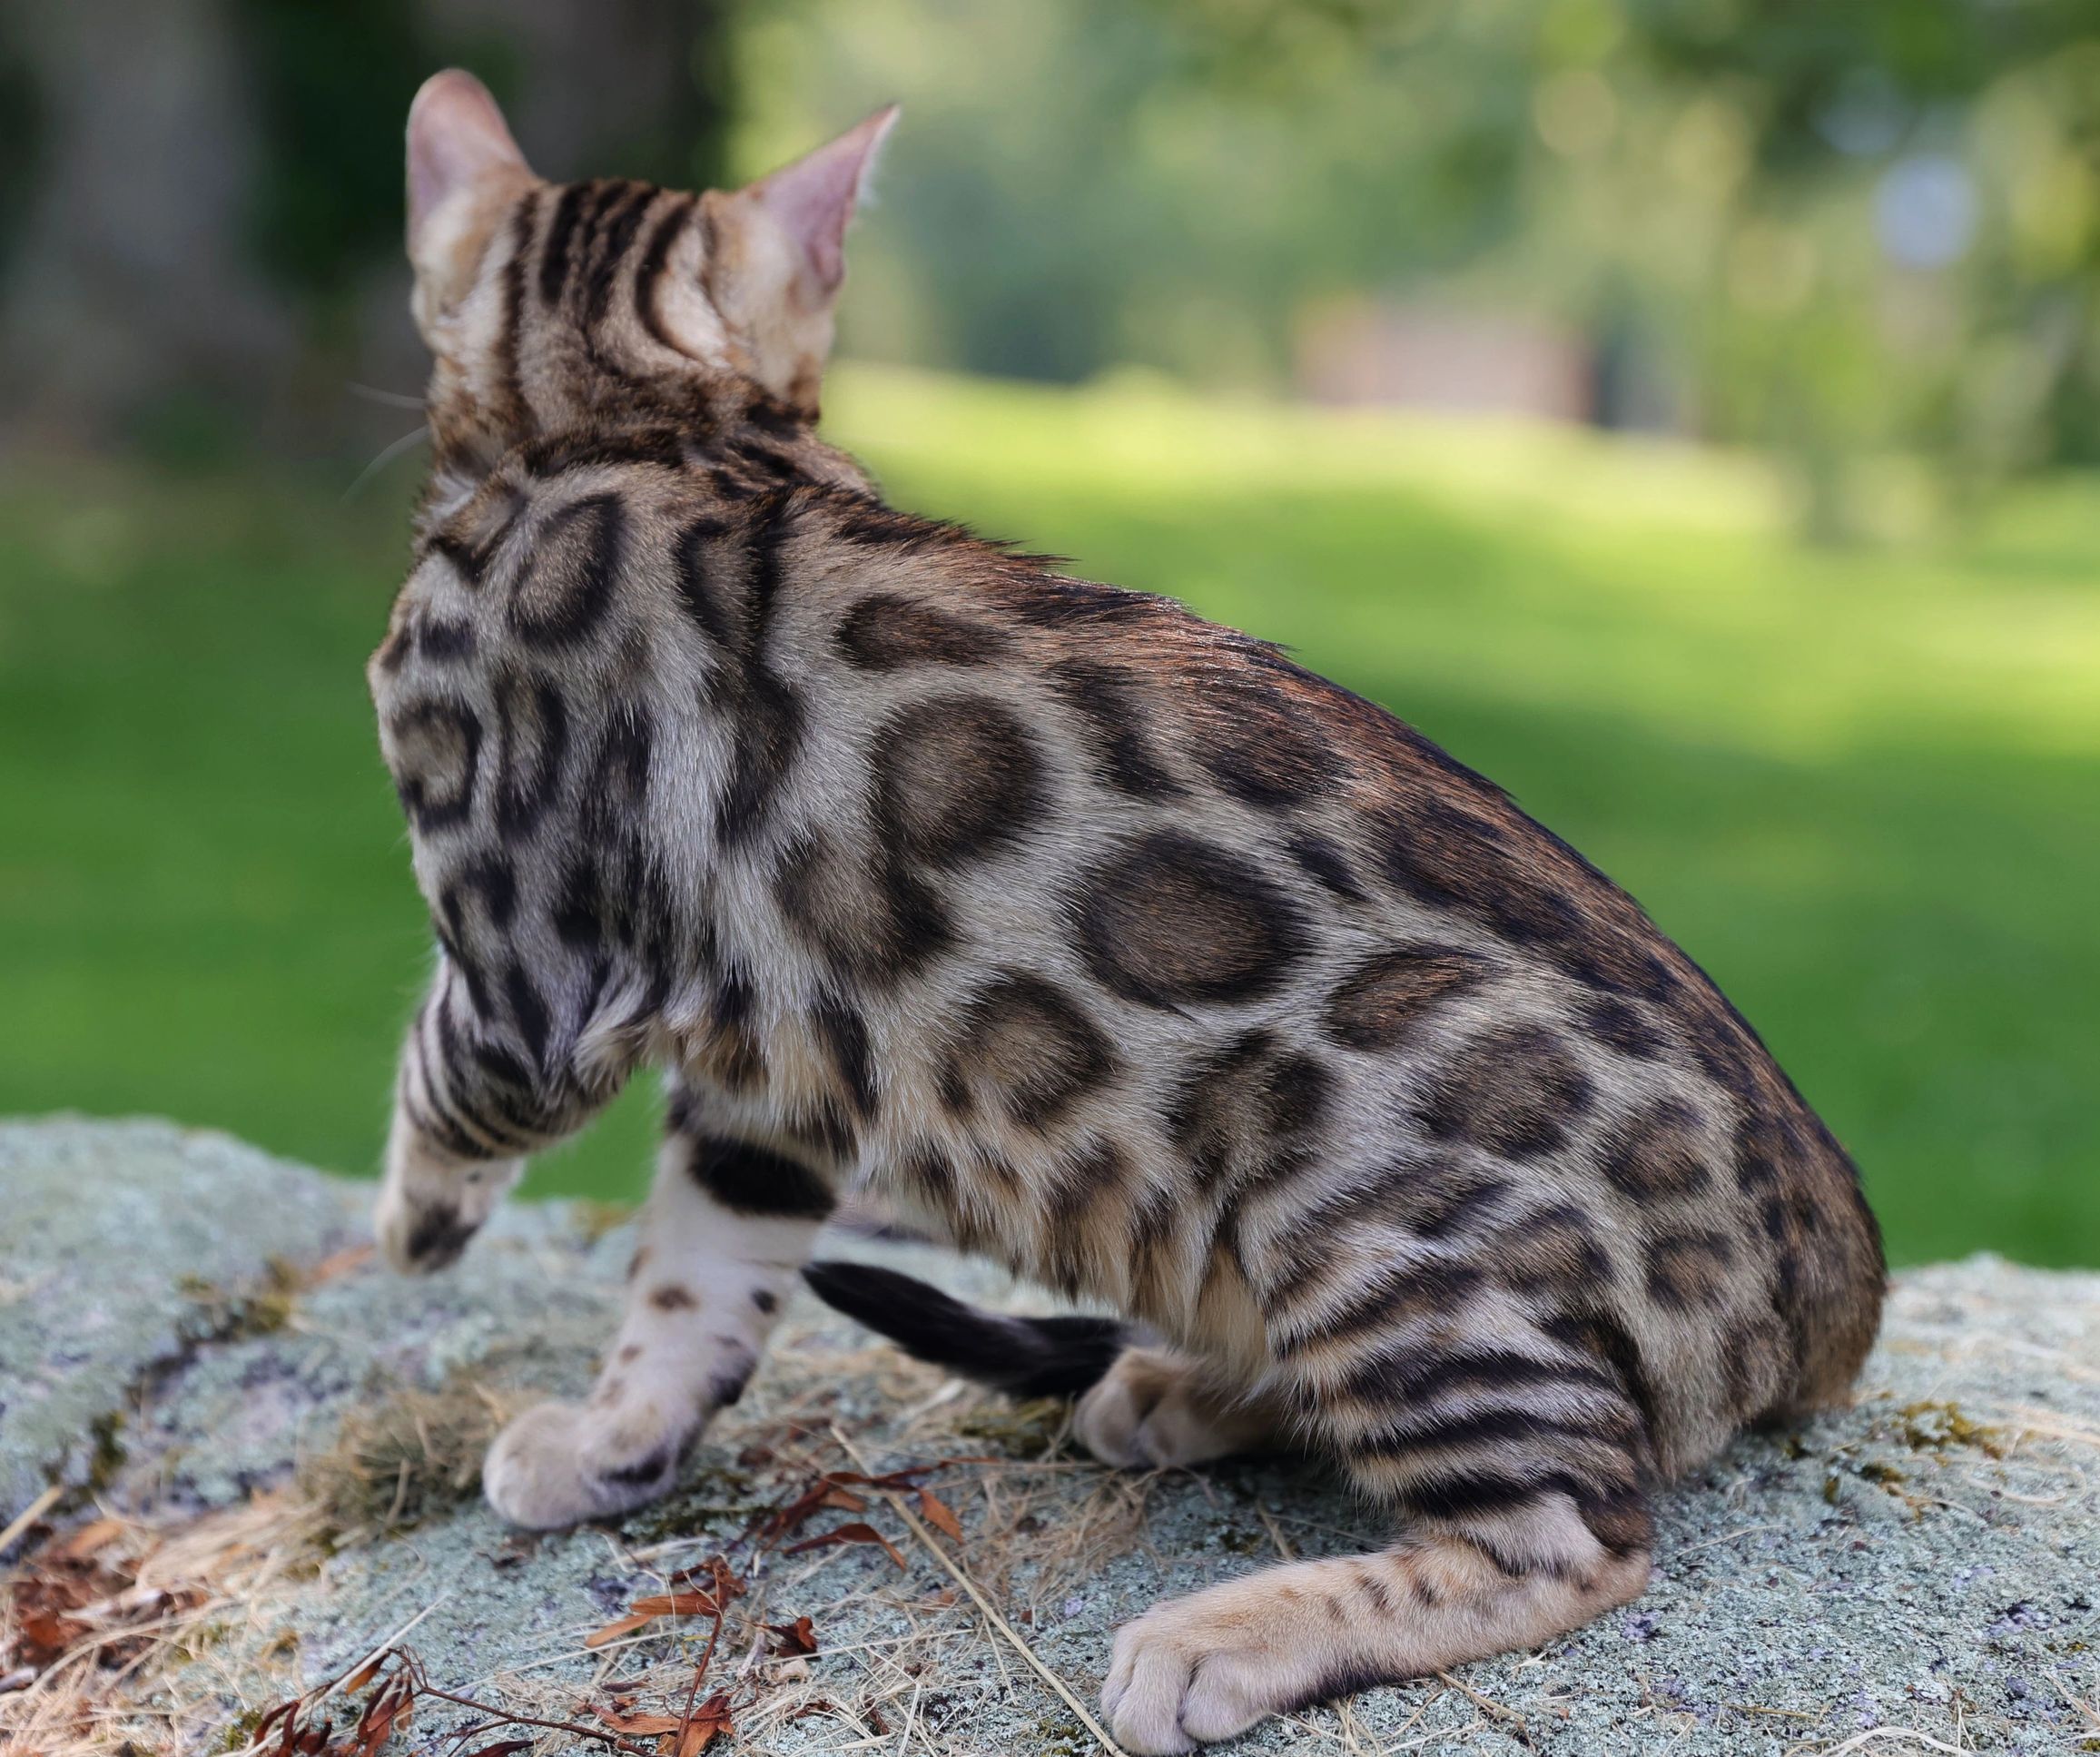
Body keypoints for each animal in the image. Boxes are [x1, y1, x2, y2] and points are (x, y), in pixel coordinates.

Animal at [365, 72, 1889, 1754]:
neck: (643, 422)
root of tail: (1841, 1273)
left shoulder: (525, 966)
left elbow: (446, 1083)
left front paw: (415, 1224)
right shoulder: (766, 1064)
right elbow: (698, 1273)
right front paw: (619, 1439)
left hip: (1355, 1213)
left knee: (1576, 1528)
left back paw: (1220, 1634)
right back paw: (1178, 1389)